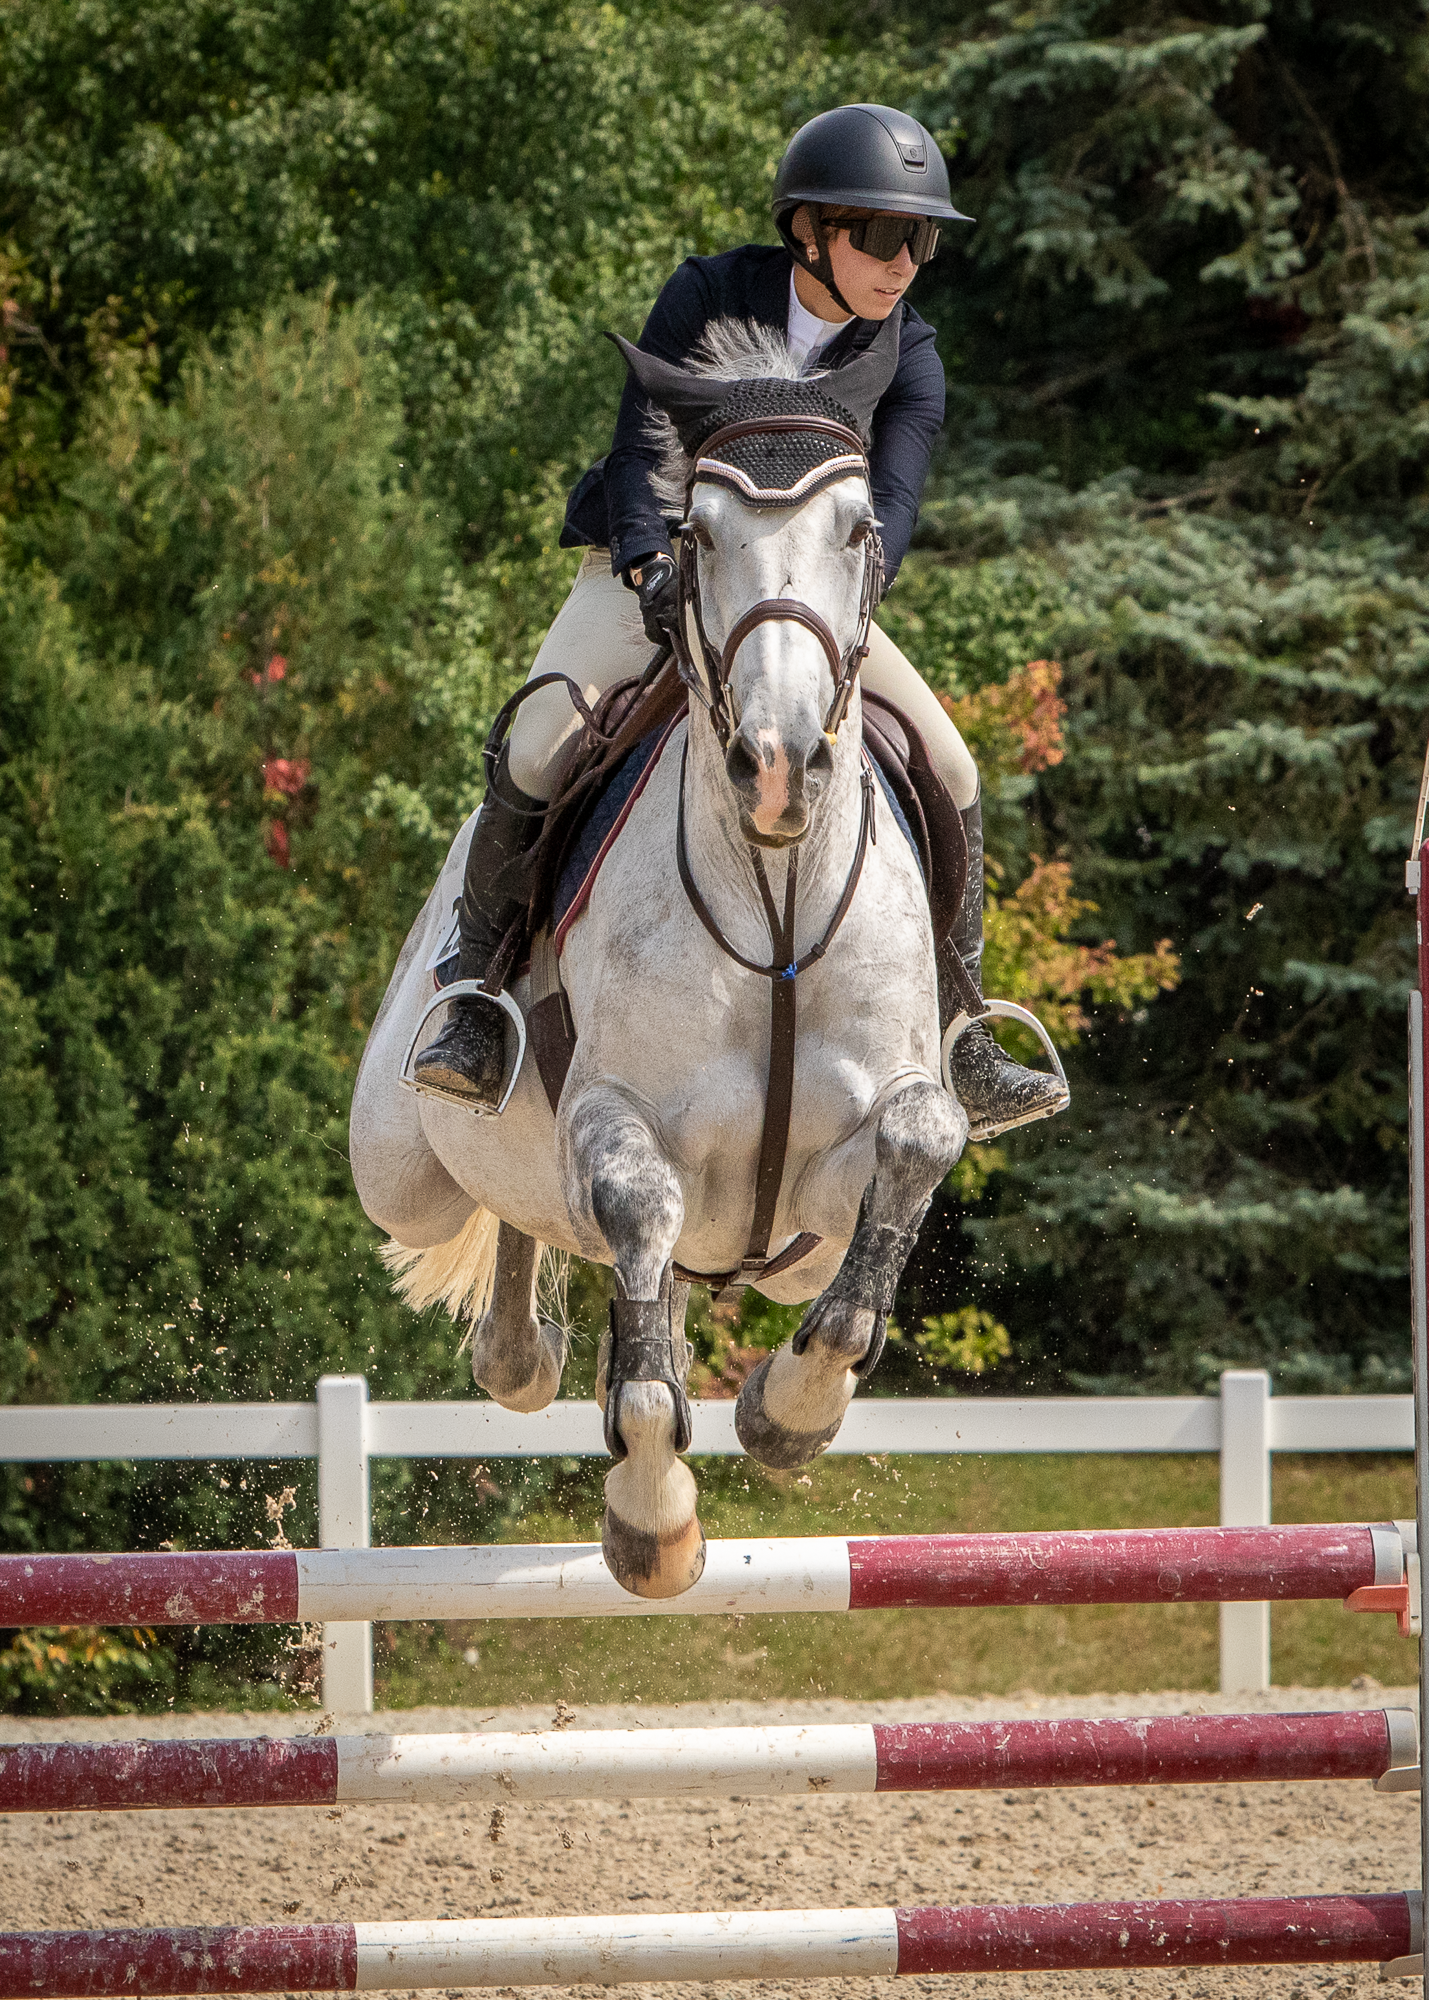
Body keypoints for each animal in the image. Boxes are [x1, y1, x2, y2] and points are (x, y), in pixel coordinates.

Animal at [349, 318, 969, 1600]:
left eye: (857, 530)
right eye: (697, 534)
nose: (778, 769)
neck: (774, 896)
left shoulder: (825, 1189)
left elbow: (920, 1139)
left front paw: (789, 1410)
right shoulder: (619, 1113)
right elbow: (634, 1212)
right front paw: (652, 1519)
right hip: (398, 1167)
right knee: (514, 1209)